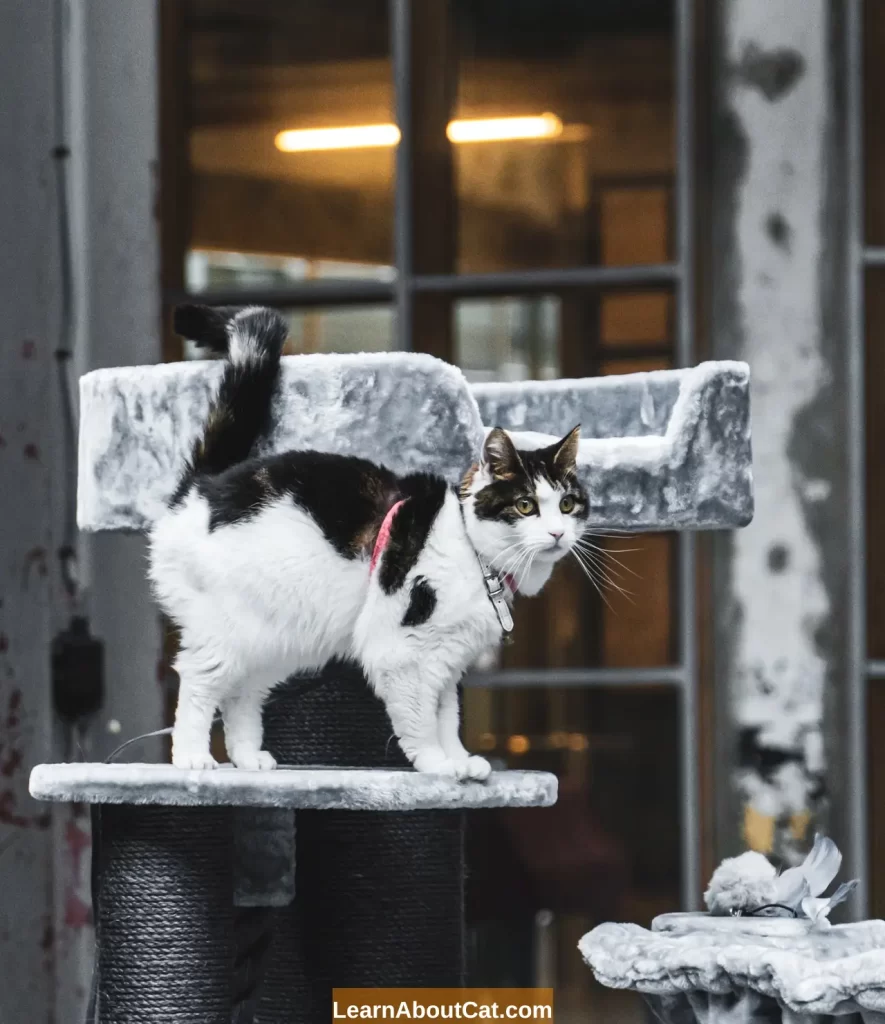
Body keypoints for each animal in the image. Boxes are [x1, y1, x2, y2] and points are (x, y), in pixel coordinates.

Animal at [149, 303, 590, 774]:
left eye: (567, 504)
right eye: (526, 506)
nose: (558, 533)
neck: (476, 558)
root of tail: (202, 488)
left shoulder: (448, 663)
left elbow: (447, 716)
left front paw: (460, 760)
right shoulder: (401, 652)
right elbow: (421, 719)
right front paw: (437, 765)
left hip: (279, 639)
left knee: (242, 692)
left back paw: (250, 758)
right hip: (228, 633)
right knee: (198, 680)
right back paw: (193, 758)